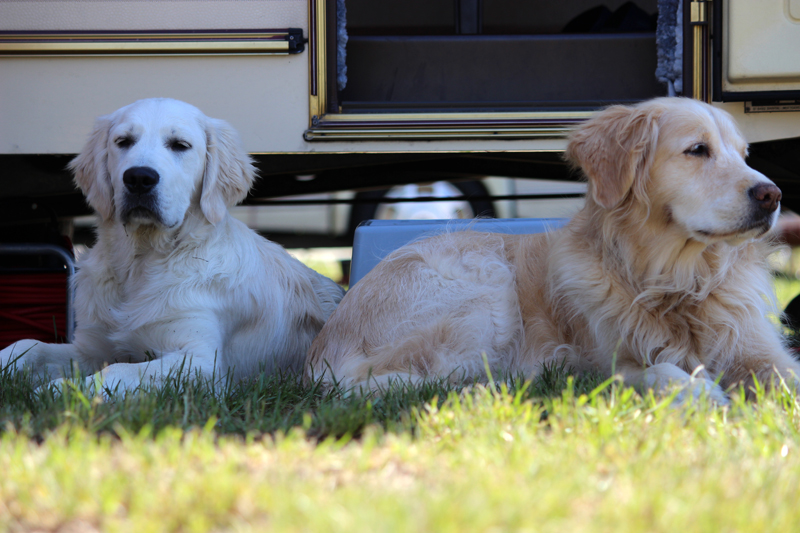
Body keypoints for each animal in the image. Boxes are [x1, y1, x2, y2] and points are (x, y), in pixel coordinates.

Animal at [0, 97, 344, 392]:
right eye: (123, 141)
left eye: (180, 145)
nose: (139, 178)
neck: (142, 263)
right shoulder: (91, 348)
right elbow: (28, 345)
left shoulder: (200, 361)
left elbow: (117, 370)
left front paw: (61, 392)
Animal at [304, 97, 792, 402]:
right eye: (697, 150)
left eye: (745, 154)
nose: (773, 195)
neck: (676, 281)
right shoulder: (607, 363)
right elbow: (657, 370)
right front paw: (697, 390)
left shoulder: (760, 351)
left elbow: (788, 381)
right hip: (484, 286)